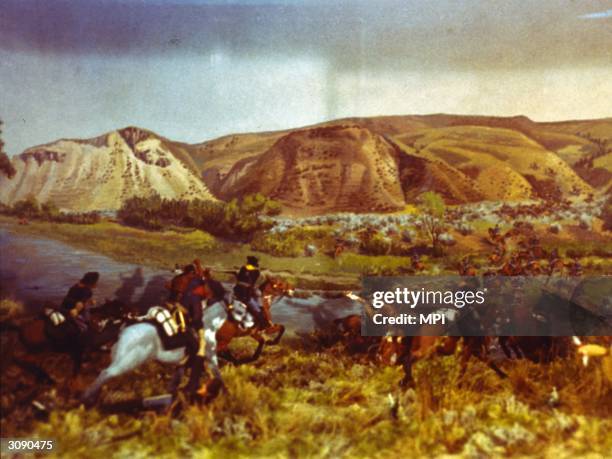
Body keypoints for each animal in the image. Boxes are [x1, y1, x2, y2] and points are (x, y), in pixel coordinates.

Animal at [82, 300, 253, 404]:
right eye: (240, 310)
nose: (251, 323)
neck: (208, 326)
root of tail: (124, 328)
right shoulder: (210, 361)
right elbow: (218, 377)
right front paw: (228, 395)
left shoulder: (182, 365)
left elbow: (174, 384)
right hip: (125, 363)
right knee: (105, 374)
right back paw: (85, 400)